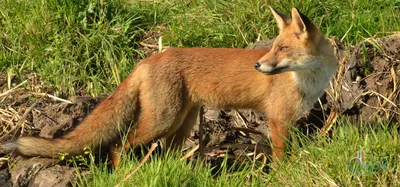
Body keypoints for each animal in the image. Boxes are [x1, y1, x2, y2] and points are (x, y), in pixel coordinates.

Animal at [0, 7, 338, 168]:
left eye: (282, 48)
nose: (258, 66)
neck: (307, 80)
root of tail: (150, 58)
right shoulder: (278, 120)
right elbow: (282, 159)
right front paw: (282, 175)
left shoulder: (287, 121)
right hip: (162, 120)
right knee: (118, 146)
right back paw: (123, 174)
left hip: (180, 124)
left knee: (166, 156)